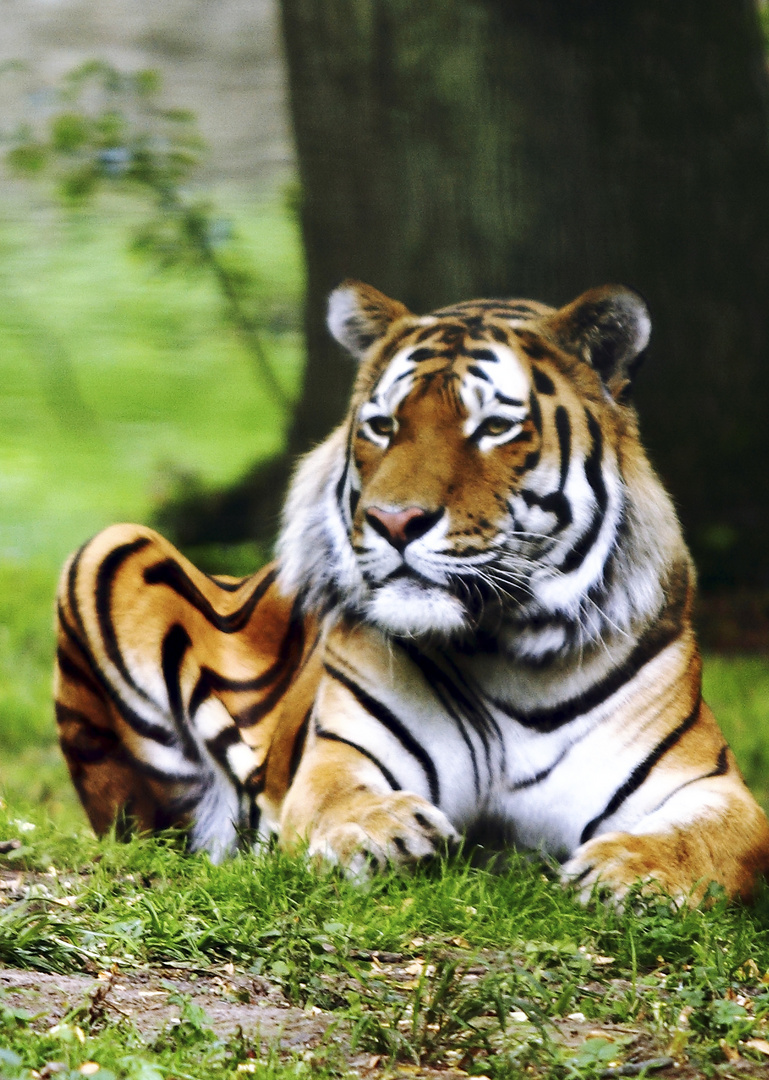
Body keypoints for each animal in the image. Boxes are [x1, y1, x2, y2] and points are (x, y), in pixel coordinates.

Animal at [54, 280, 769, 902]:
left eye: (494, 428)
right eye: (383, 425)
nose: (394, 521)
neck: (507, 651)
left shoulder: (711, 787)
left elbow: (718, 840)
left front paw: (634, 874)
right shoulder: (342, 759)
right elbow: (340, 801)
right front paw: (385, 833)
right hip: (107, 549)